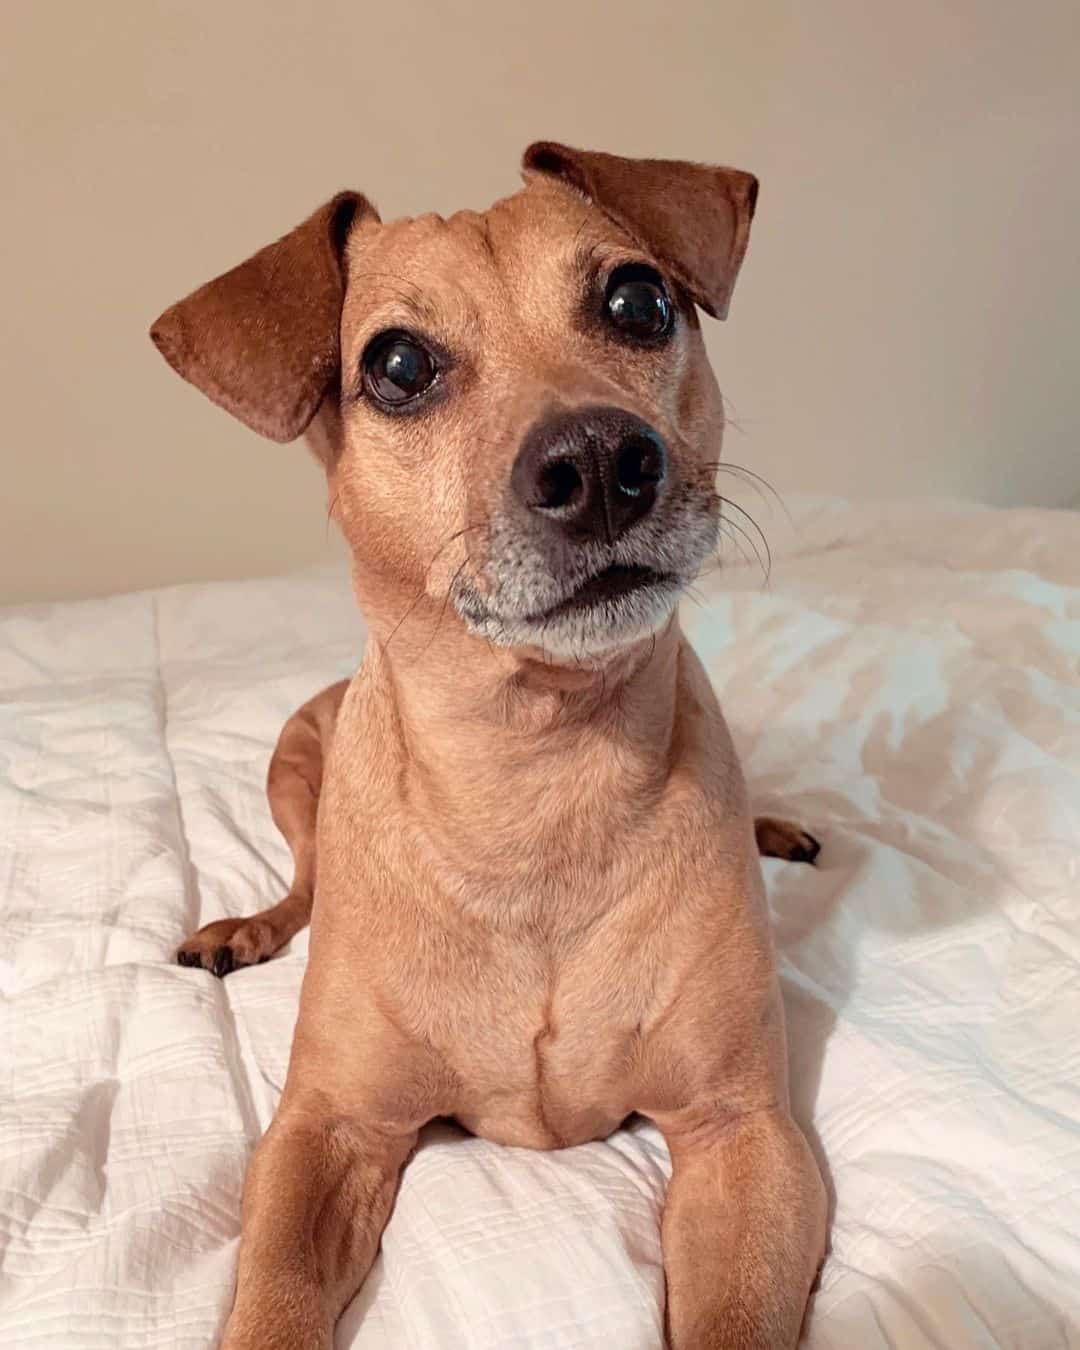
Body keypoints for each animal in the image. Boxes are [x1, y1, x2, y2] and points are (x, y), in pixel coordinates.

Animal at [149, 145, 826, 1350]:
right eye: (398, 365)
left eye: (639, 302)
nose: (600, 459)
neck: (537, 775)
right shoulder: (327, 1130)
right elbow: (273, 1293)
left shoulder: (746, 1130)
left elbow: (734, 1314)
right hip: (291, 763)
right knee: (303, 882)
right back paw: (247, 927)